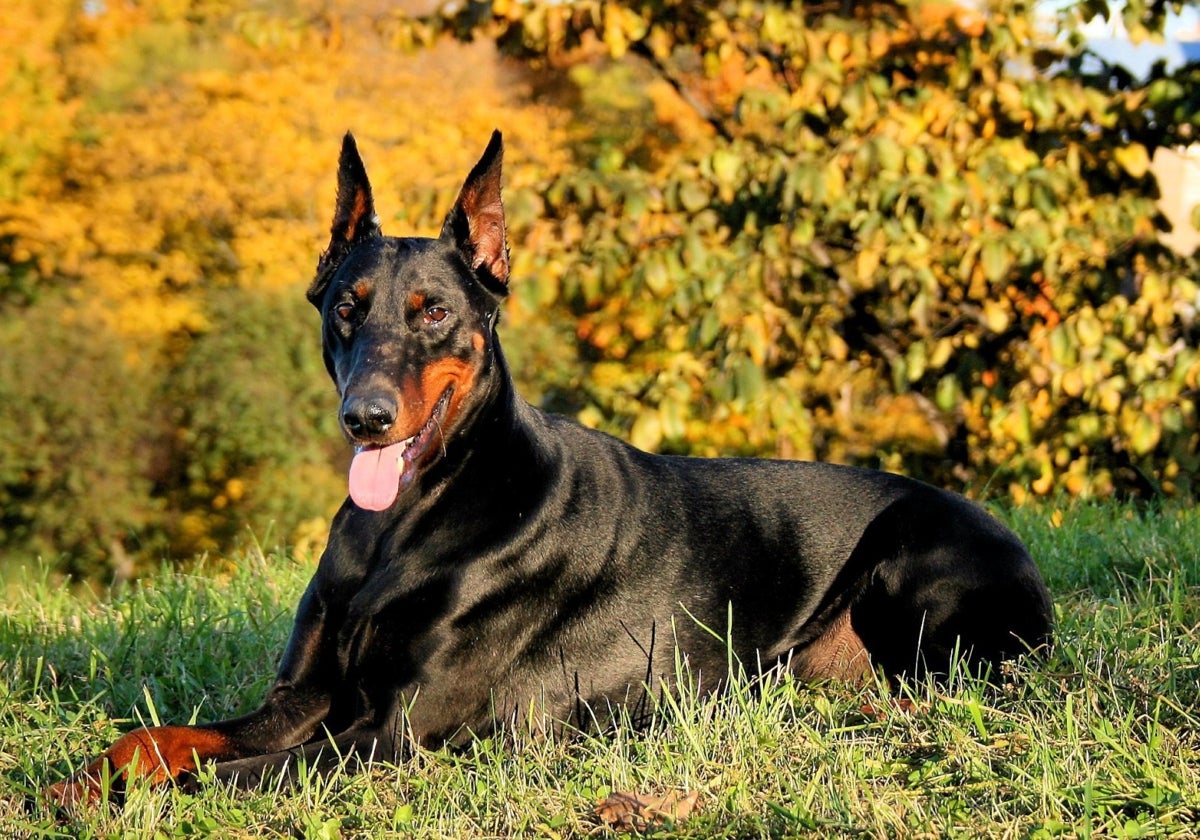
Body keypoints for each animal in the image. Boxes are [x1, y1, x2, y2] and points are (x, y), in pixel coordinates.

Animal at [46, 131, 1051, 806]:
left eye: (434, 311)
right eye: (345, 306)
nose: (366, 416)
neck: (405, 523)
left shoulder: (393, 732)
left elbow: (212, 776)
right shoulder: (304, 696)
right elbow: (158, 739)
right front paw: (75, 779)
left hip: (912, 561)